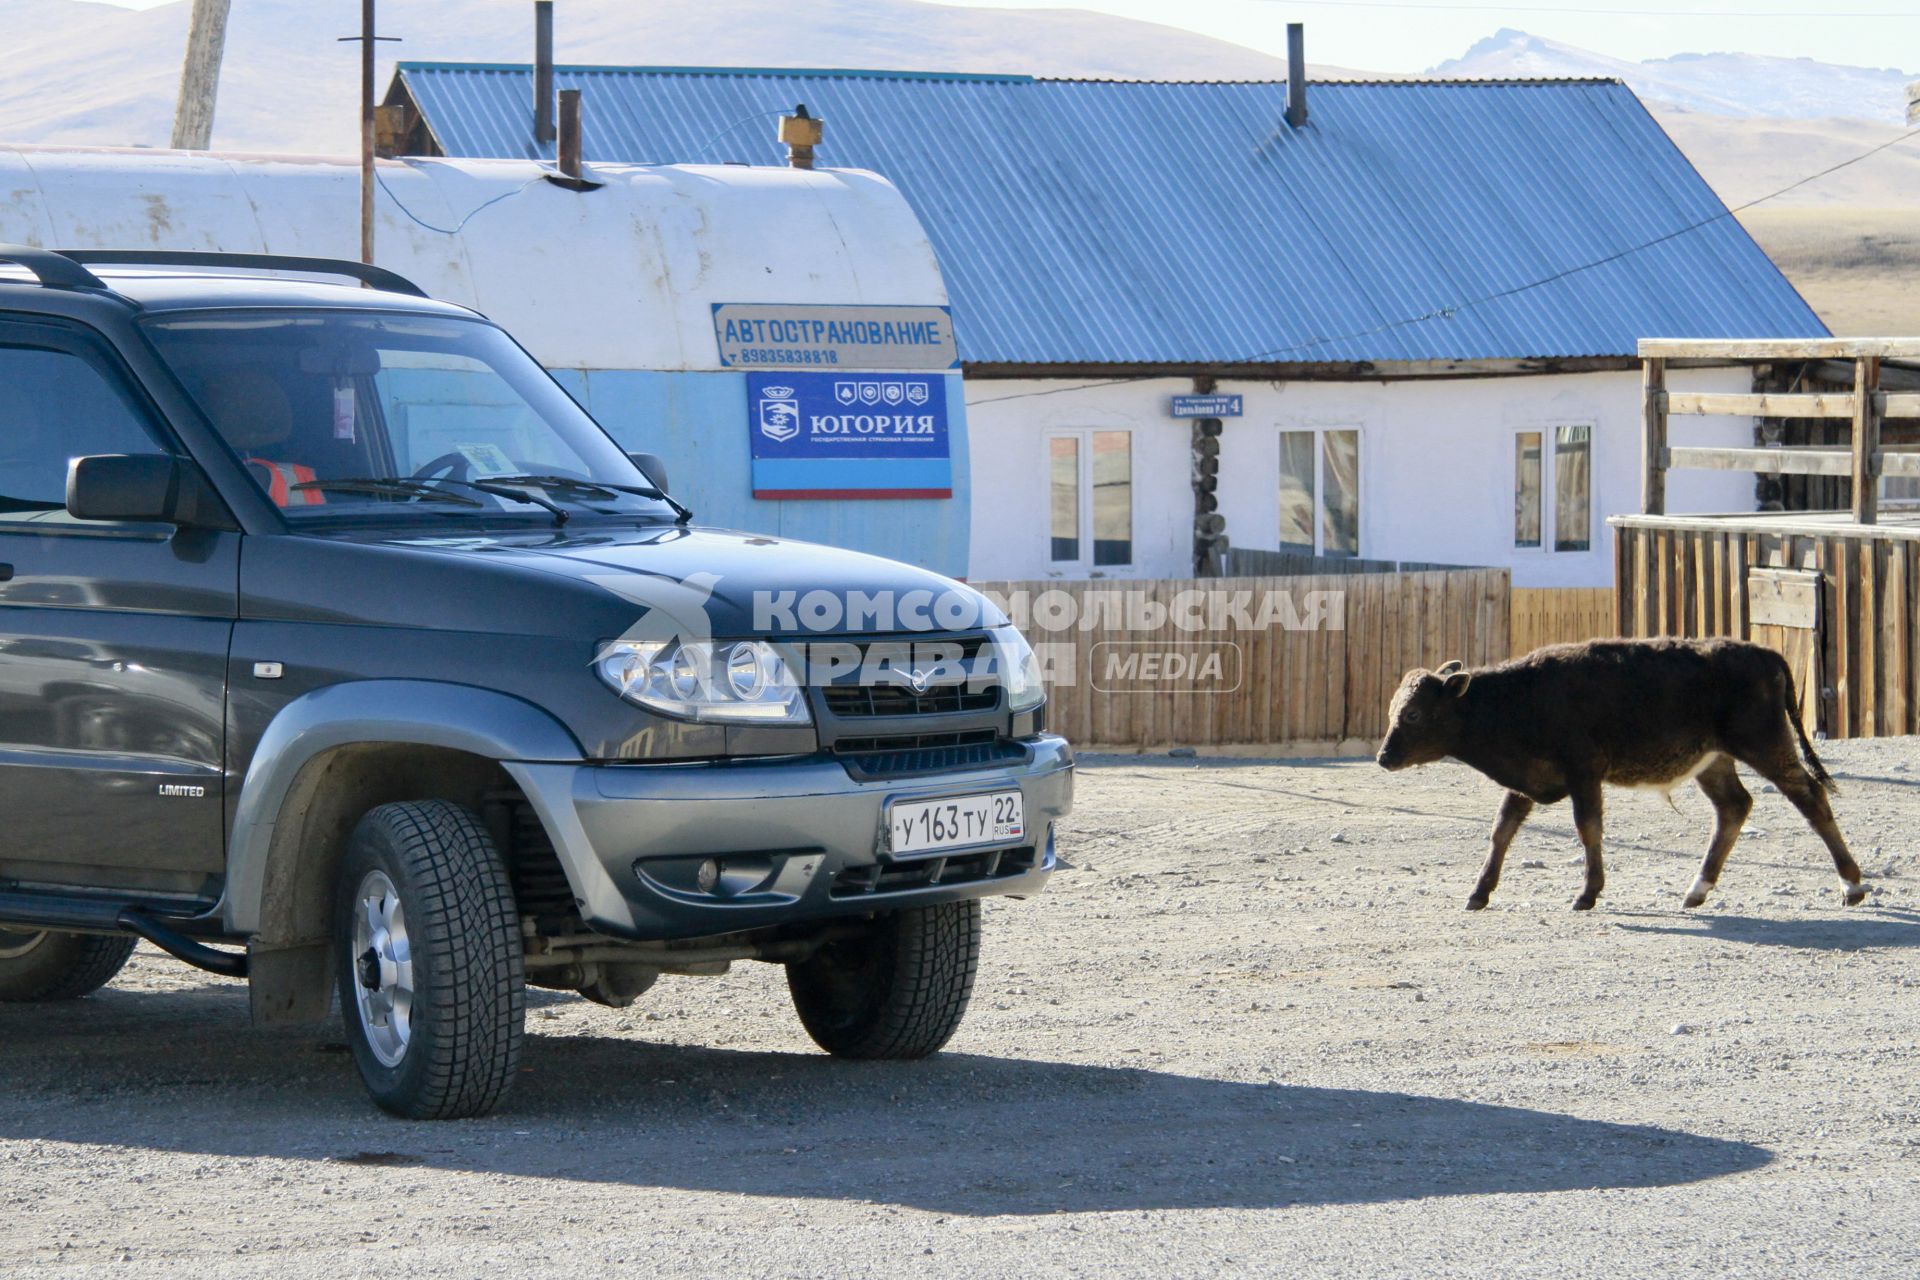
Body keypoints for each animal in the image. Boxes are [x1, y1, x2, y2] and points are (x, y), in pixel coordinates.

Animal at [1374, 637, 1866, 909]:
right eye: (1394, 708)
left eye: (1413, 714)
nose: (1383, 757)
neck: (1519, 697)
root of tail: (1764, 655)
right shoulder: (1526, 782)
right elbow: (1502, 831)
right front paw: (1479, 893)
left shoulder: (1584, 775)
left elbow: (1587, 829)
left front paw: (1587, 893)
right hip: (1714, 761)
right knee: (1733, 807)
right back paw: (1697, 890)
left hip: (1765, 746)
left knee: (1810, 798)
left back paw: (1852, 884)